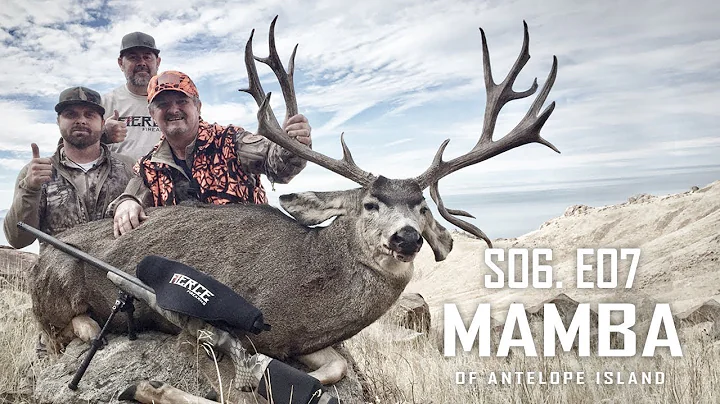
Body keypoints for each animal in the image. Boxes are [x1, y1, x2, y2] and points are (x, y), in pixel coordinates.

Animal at [30, 17, 559, 403]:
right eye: (370, 203)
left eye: (422, 207)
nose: (406, 237)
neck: (300, 290)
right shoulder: (199, 332)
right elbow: (228, 389)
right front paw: (152, 386)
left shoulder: (305, 342)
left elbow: (334, 367)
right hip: (53, 286)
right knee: (59, 326)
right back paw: (95, 327)